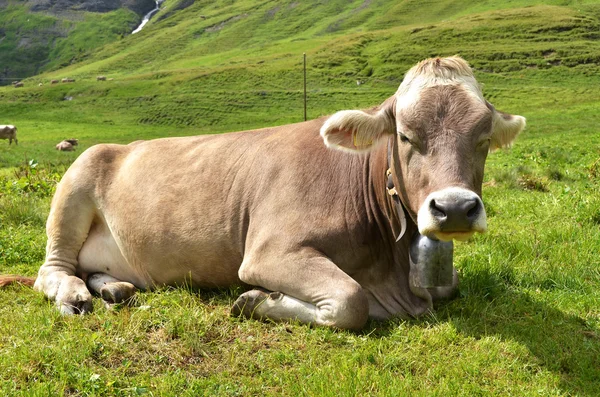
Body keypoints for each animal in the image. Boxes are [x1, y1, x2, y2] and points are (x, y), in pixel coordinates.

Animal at [0, 55, 524, 328]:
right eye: (405, 135)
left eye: (483, 138)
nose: (454, 208)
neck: (390, 269)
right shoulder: (269, 251)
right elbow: (350, 300)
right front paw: (257, 299)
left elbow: (449, 286)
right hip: (74, 185)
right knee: (53, 269)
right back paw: (76, 296)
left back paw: (115, 288)